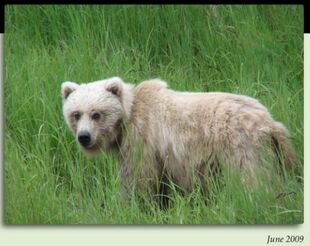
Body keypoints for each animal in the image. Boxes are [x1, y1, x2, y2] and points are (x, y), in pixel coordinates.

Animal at [61, 77, 296, 204]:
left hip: (241, 147)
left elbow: (138, 178)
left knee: (255, 181)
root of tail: (270, 122)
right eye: (76, 114)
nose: (84, 137)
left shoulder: (143, 139)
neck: (126, 119)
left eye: (96, 114)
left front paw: (130, 203)